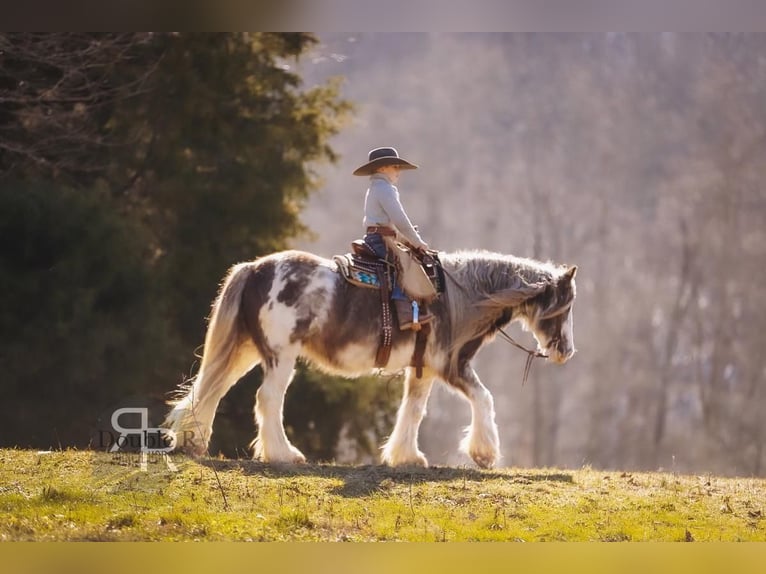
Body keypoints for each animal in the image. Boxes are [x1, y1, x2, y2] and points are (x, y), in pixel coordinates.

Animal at [165, 250, 580, 470]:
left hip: (248, 350)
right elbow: (484, 399)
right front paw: (484, 453)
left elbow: (413, 410)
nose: (566, 351)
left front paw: (406, 456)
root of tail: (255, 268)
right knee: (267, 399)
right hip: (280, 356)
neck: (459, 298)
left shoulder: (423, 370)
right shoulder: (451, 366)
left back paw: (193, 441)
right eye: (564, 305)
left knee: (210, 390)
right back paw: (283, 454)